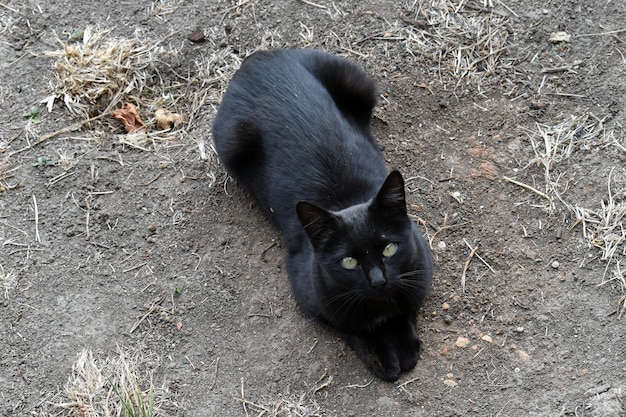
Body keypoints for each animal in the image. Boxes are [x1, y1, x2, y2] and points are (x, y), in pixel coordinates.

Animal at [212, 48, 432, 380]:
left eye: (389, 248)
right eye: (349, 262)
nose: (378, 280)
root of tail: (259, 57)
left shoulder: (420, 267)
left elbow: (406, 307)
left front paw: (405, 346)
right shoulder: (312, 297)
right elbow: (352, 327)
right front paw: (382, 355)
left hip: (358, 80)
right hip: (230, 142)